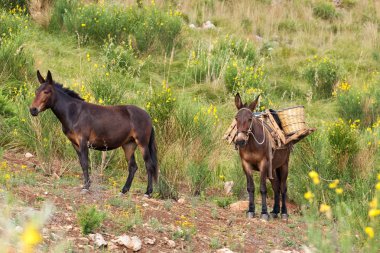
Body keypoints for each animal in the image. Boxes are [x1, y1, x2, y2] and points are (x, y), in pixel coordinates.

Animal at [29, 70, 157, 196]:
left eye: (46, 92)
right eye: (36, 91)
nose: (33, 110)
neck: (74, 113)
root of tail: (148, 116)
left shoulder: (83, 142)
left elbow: (86, 163)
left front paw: (86, 187)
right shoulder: (75, 144)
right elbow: (82, 163)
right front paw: (86, 185)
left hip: (142, 143)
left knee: (149, 165)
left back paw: (148, 192)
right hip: (128, 145)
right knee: (133, 167)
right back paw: (124, 190)